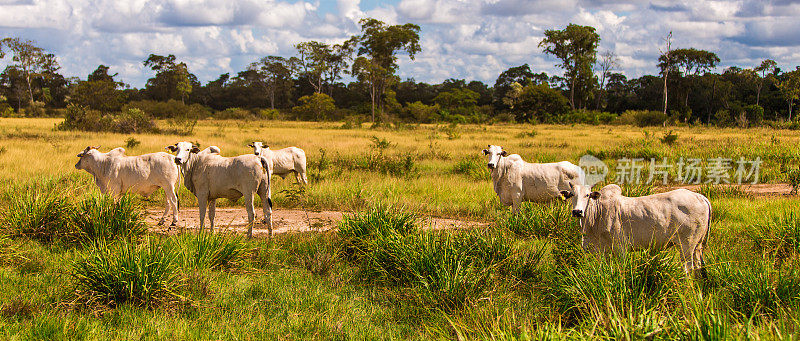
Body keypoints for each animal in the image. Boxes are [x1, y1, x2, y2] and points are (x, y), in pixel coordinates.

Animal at [564, 183, 712, 276]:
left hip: (686, 245)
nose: (577, 211)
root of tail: (700, 196)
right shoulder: (604, 251)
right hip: (697, 246)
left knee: (688, 269)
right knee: (698, 267)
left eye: (587, 195)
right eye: (572, 195)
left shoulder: (621, 247)